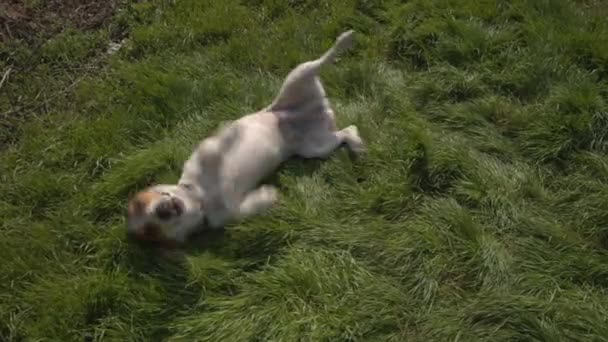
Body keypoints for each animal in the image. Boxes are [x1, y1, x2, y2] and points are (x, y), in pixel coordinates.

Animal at [127, 30, 366, 247]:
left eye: (148, 199)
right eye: (150, 229)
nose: (163, 210)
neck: (201, 198)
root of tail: (319, 110)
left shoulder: (200, 157)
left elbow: (212, 147)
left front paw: (228, 133)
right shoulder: (232, 212)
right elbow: (245, 207)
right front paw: (268, 195)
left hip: (297, 76)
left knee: (321, 60)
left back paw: (345, 39)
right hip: (315, 147)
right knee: (347, 131)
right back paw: (357, 146)